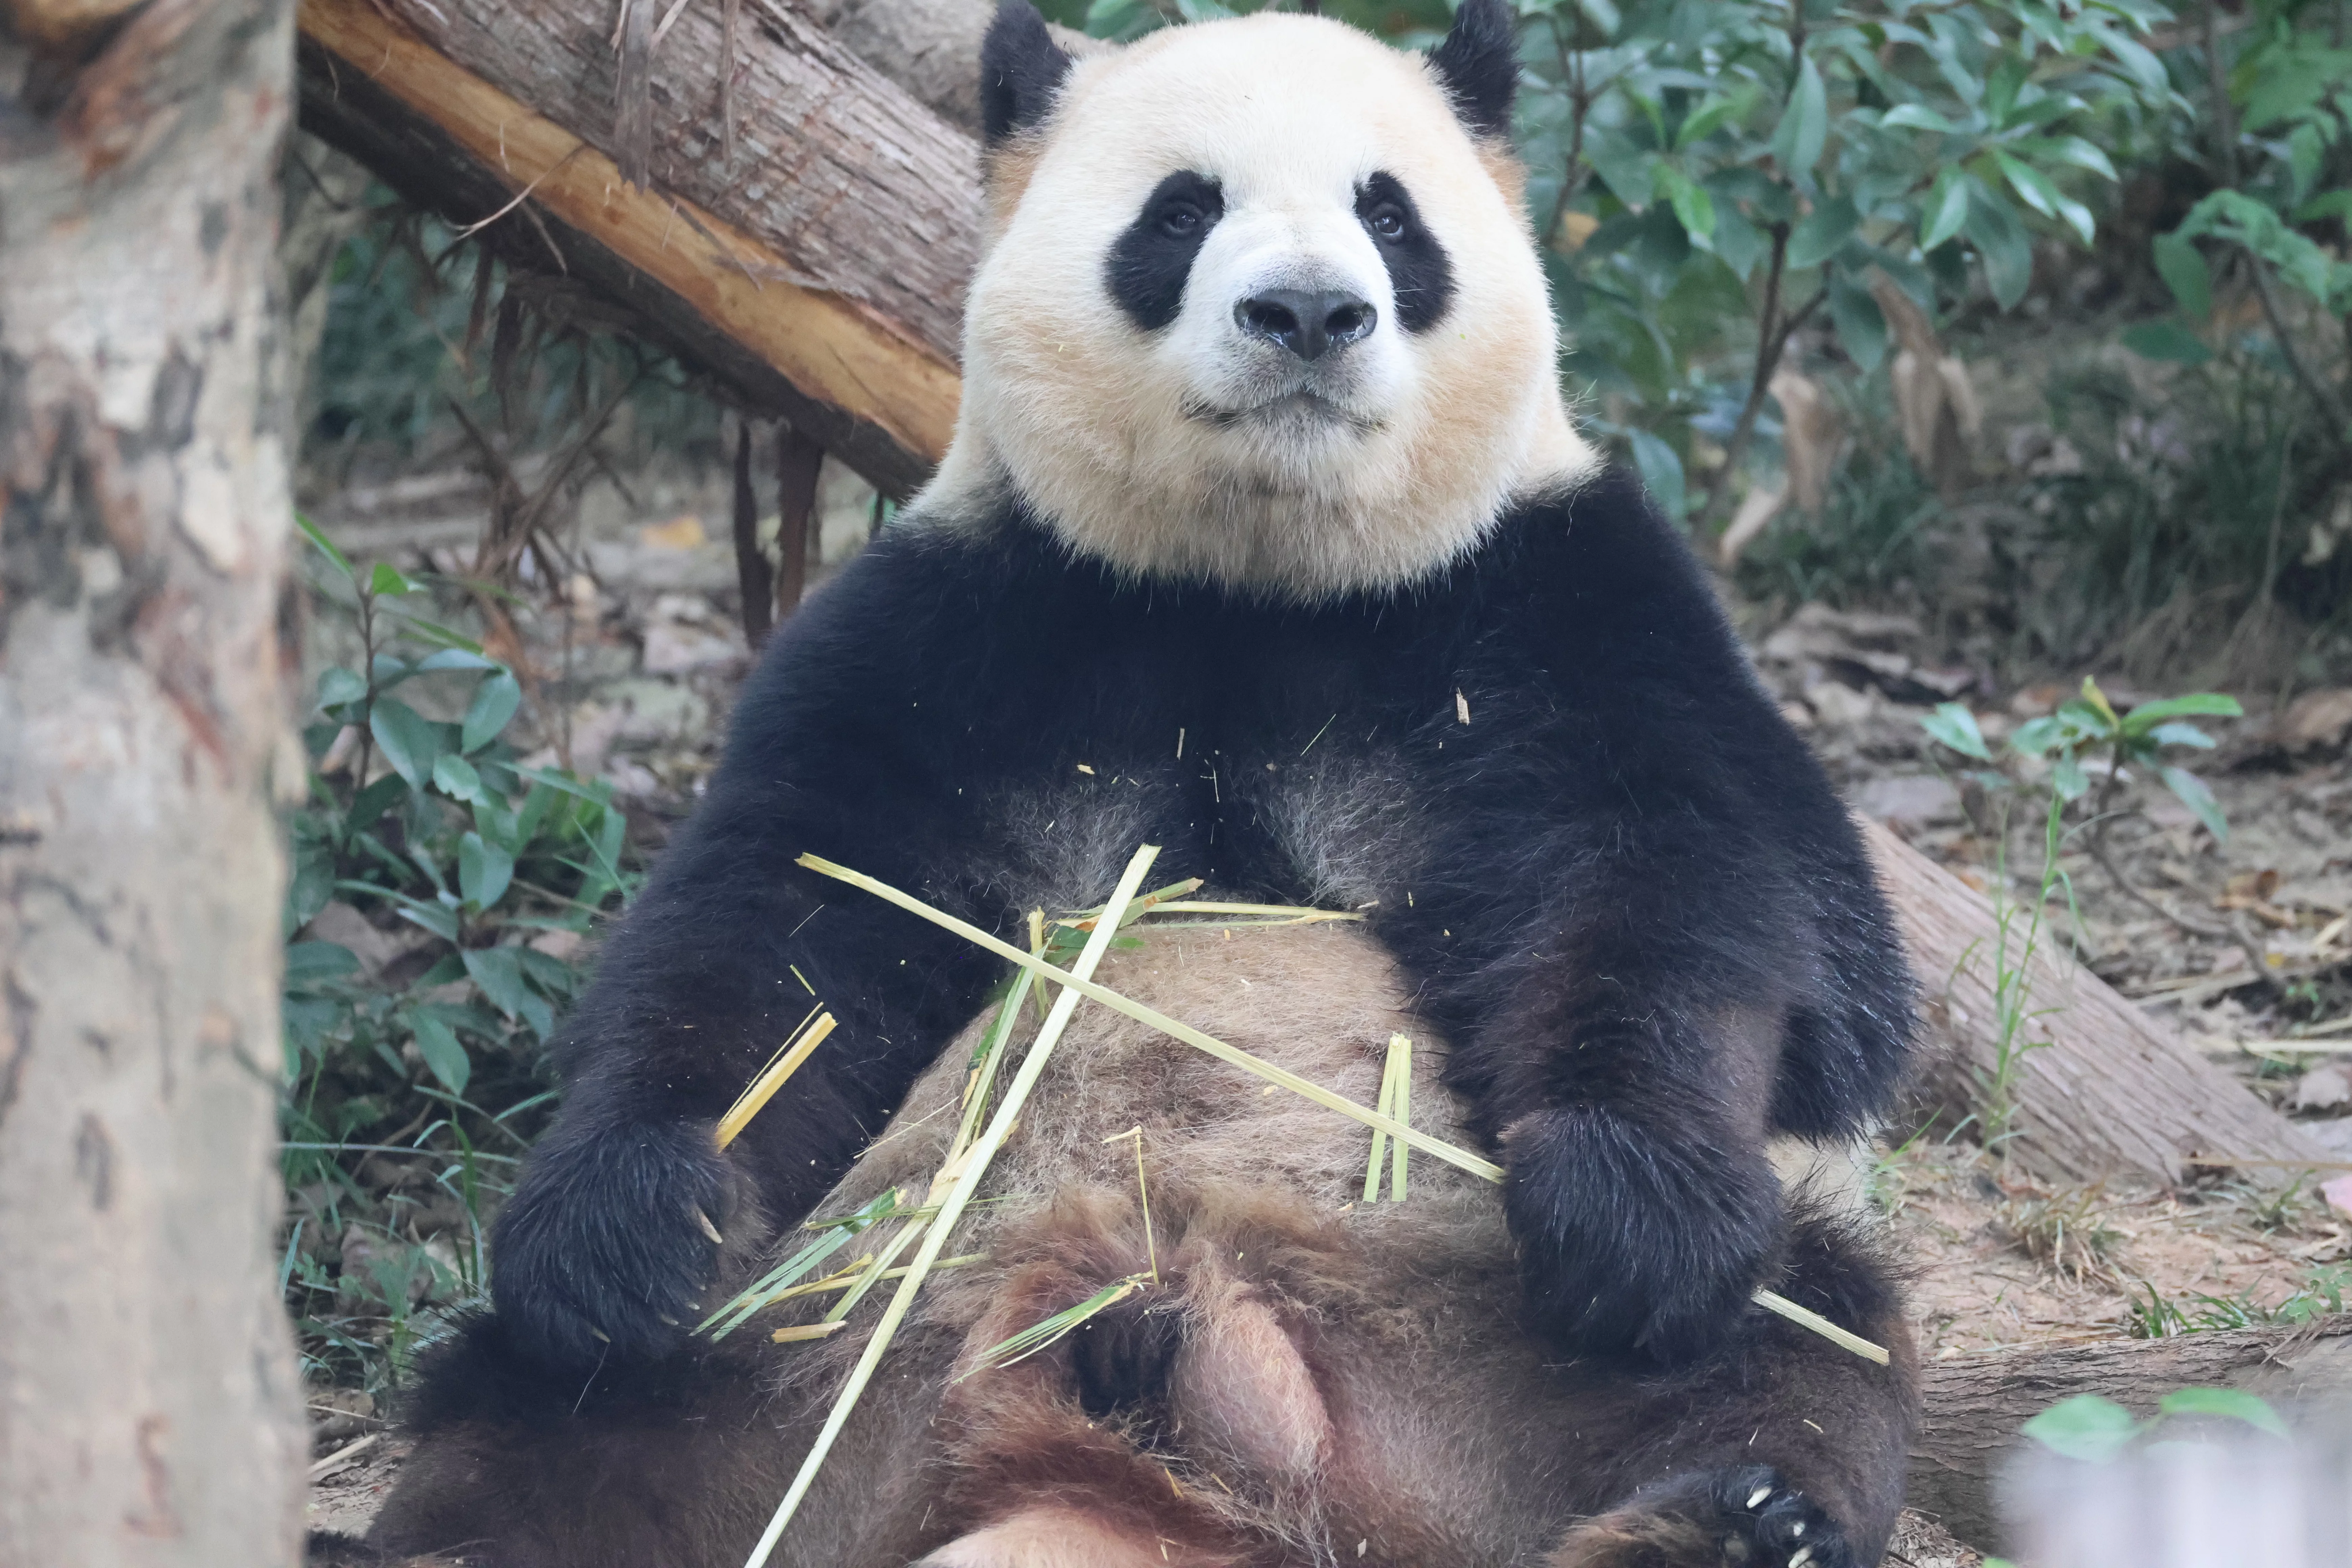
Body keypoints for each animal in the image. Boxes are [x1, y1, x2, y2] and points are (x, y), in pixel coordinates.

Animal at [343, 4, 1921, 1565]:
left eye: (1390, 215)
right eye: (1180, 211)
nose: (1308, 313)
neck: (1254, 582)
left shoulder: (1554, 604)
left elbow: (1688, 889)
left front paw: (1630, 1212)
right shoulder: (966, 628)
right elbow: (778, 927)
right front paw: (633, 1223)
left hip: (1482, 1329)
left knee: (1795, 1347)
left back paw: (1731, 1515)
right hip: (812, 1333)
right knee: (553, 1406)